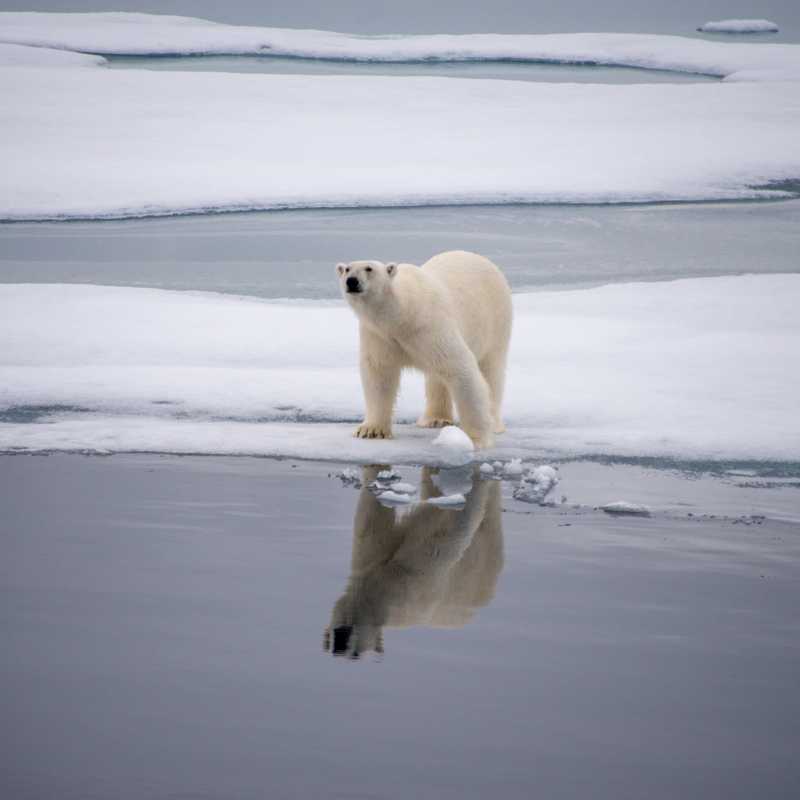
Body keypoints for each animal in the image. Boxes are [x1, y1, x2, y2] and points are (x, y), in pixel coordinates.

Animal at [324, 465, 504, 659]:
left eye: (356, 654)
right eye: (332, 640)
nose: (340, 642)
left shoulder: (418, 578)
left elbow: (450, 526)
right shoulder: (373, 558)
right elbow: (371, 524)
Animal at [336, 250, 512, 448]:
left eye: (369, 268)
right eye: (347, 269)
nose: (351, 281)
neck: (402, 315)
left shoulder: (430, 326)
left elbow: (461, 370)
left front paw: (475, 439)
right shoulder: (379, 335)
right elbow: (379, 374)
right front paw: (370, 431)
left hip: (496, 320)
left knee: (491, 370)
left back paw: (495, 424)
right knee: (437, 378)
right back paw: (435, 419)